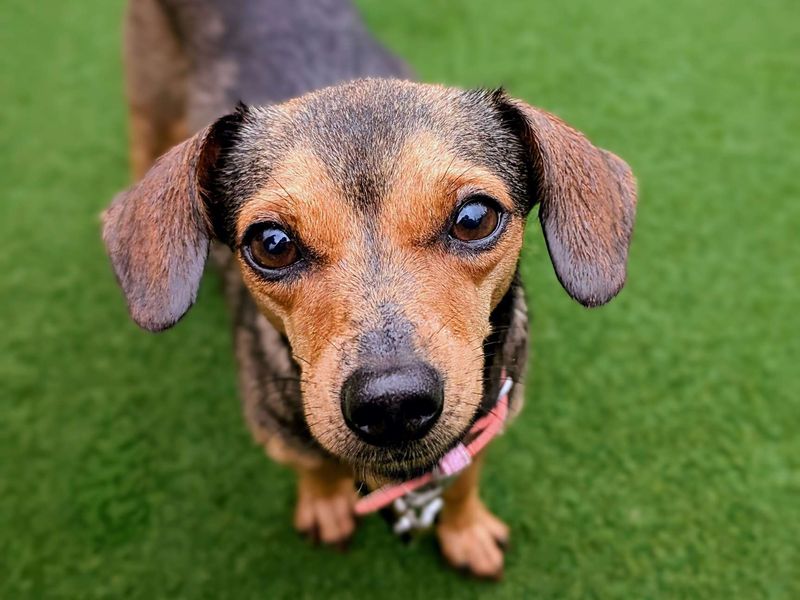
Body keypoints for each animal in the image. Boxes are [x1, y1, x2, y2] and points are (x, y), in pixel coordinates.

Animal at [103, 0, 636, 580]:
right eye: (272, 243)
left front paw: (465, 528)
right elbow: (313, 467)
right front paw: (325, 502)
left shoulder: (489, 414)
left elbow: (465, 475)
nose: (392, 404)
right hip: (147, 89)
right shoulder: (279, 432)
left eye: (475, 218)